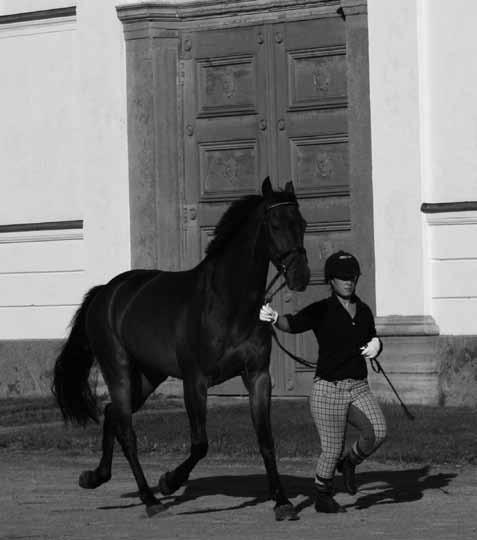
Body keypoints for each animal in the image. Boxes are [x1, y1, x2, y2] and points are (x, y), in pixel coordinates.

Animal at [52, 177, 310, 520]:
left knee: (112, 415)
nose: (301, 276)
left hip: (148, 376)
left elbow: (265, 439)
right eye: (275, 224)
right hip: (118, 369)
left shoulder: (257, 376)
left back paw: (96, 477)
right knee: (127, 431)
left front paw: (282, 502)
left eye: (303, 224)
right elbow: (200, 443)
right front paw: (169, 480)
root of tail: (106, 291)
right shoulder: (195, 381)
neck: (228, 303)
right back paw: (151, 499)